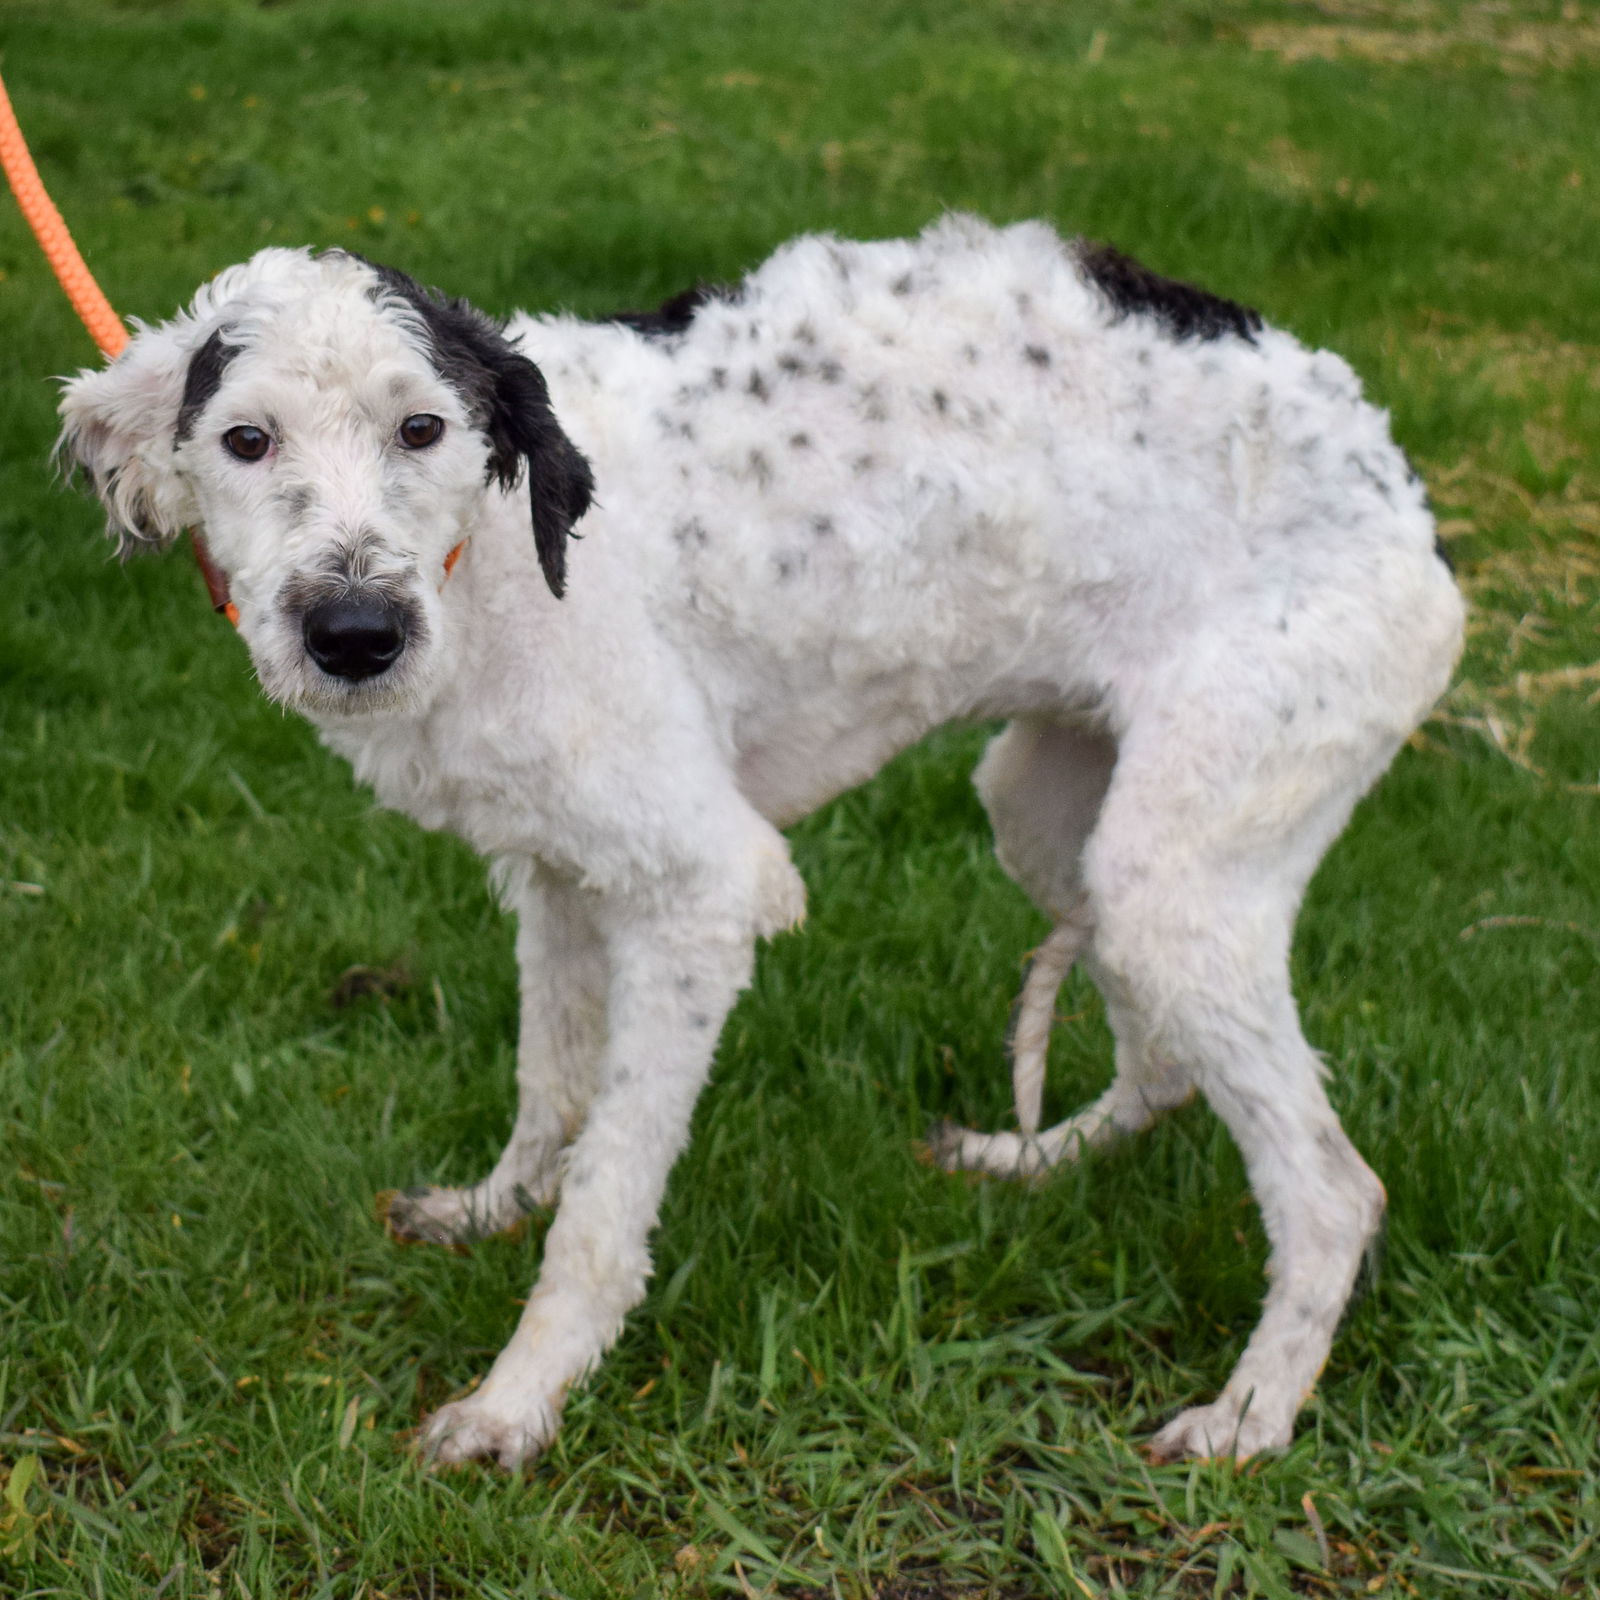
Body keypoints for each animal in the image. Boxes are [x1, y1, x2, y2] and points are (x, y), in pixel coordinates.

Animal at [59, 219, 1465, 1465]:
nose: (355, 634)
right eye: (245, 440)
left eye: (424, 428)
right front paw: (491, 1208)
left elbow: (602, 1200)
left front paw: (518, 1404)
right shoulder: (558, 872)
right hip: (1054, 815)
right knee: (1165, 1064)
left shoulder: (696, 891)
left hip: (1175, 866)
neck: (496, 564)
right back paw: (1034, 1156)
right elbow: (548, 1092)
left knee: (1333, 1192)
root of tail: (1398, 482)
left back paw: (1248, 1417)